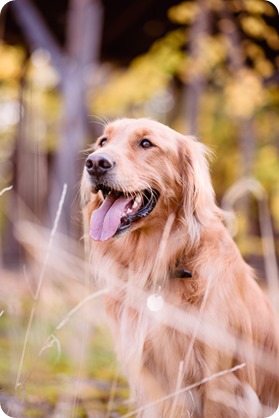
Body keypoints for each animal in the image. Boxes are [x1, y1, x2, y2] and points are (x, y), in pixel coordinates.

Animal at [81, 118, 279, 418]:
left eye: (146, 143)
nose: (95, 163)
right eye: (103, 141)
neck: (164, 261)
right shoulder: (153, 380)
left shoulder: (220, 382)